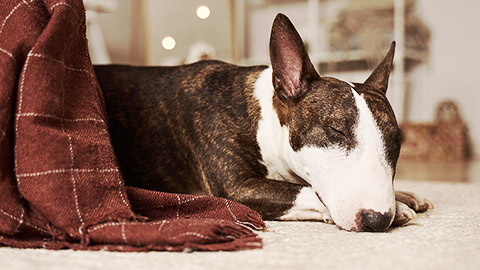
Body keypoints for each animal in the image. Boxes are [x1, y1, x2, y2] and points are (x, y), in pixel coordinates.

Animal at [95, 13, 434, 231]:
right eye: (336, 130)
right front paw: (400, 209)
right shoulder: (235, 188)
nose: (377, 220)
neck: (263, 123)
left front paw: (404, 196)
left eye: (396, 141)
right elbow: (307, 191)